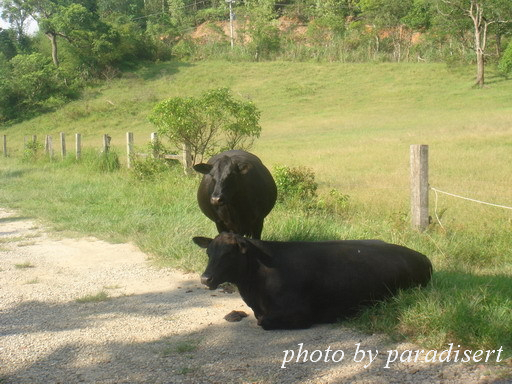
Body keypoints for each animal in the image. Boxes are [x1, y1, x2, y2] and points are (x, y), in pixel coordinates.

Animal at [192, 232, 432, 328]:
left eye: (228, 254)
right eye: (209, 253)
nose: (205, 278)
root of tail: (422, 257)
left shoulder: (299, 312)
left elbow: (263, 322)